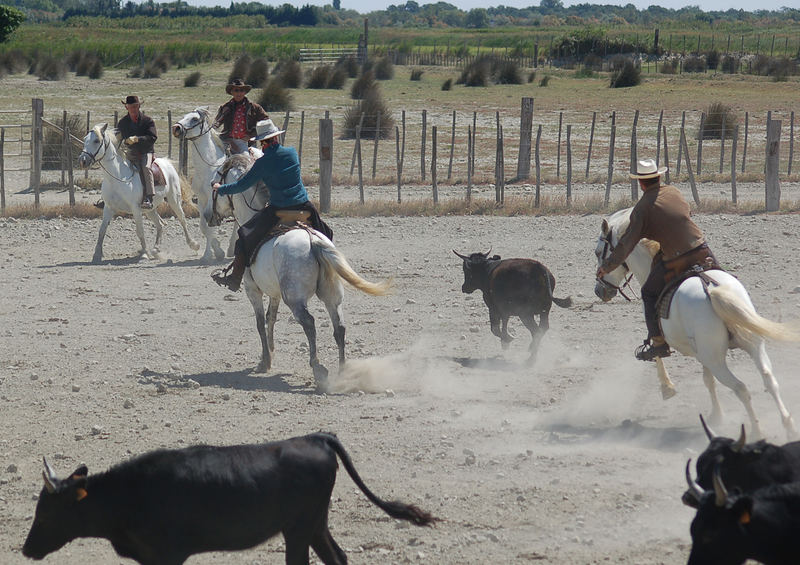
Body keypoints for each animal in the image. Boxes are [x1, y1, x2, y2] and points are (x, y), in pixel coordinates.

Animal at [77, 122, 199, 264]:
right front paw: (96, 255)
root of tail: (167, 163)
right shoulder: (108, 208)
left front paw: (144, 255)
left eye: (96, 140)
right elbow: (102, 231)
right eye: (85, 139)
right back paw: (156, 250)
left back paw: (193, 244)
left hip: (174, 200)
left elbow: (140, 231)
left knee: (182, 220)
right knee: (160, 225)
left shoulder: (135, 209)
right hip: (150, 209)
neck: (117, 177)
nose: (82, 161)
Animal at [172, 108, 262, 262]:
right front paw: (214, 250)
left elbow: (209, 227)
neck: (209, 166)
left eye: (194, 118)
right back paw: (231, 249)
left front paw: (212, 253)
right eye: (184, 116)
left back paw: (231, 249)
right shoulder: (202, 201)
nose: (176, 128)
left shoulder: (213, 200)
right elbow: (204, 226)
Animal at [203, 185, 390, 388]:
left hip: (295, 300)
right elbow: (271, 319)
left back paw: (317, 368)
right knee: (339, 327)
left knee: (309, 323)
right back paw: (342, 372)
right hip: (332, 297)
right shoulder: (275, 293)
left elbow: (260, 323)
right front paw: (270, 353)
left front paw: (265, 361)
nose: (207, 215)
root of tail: (312, 240)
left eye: (215, 188)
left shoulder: (253, 291)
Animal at [592, 208, 800, 440]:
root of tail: (711, 288)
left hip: (716, 359)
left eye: (599, 252)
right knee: (769, 380)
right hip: (753, 345)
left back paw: (756, 430)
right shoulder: (702, 353)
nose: (599, 290)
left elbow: (664, 355)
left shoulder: (695, 352)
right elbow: (707, 379)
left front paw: (671, 390)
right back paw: (789, 427)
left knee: (741, 388)